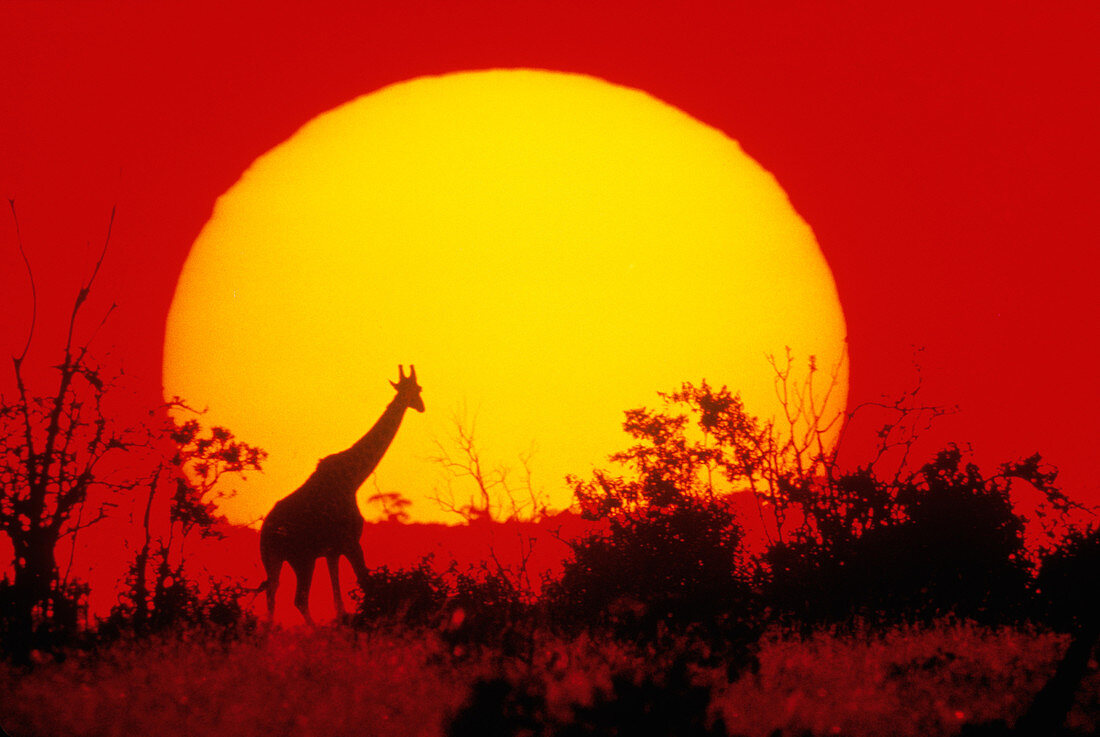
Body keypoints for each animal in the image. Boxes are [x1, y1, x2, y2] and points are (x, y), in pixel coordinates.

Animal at [257, 363, 424, 624]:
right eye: (418, 389)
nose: (421, 406)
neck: (353, 479)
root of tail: (267, 532)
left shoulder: (332, 550)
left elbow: (338, 596)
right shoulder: (350, 542)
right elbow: (366, 582)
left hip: (272, 558)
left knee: (273, 592)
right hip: (302, 558)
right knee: (299, 598)